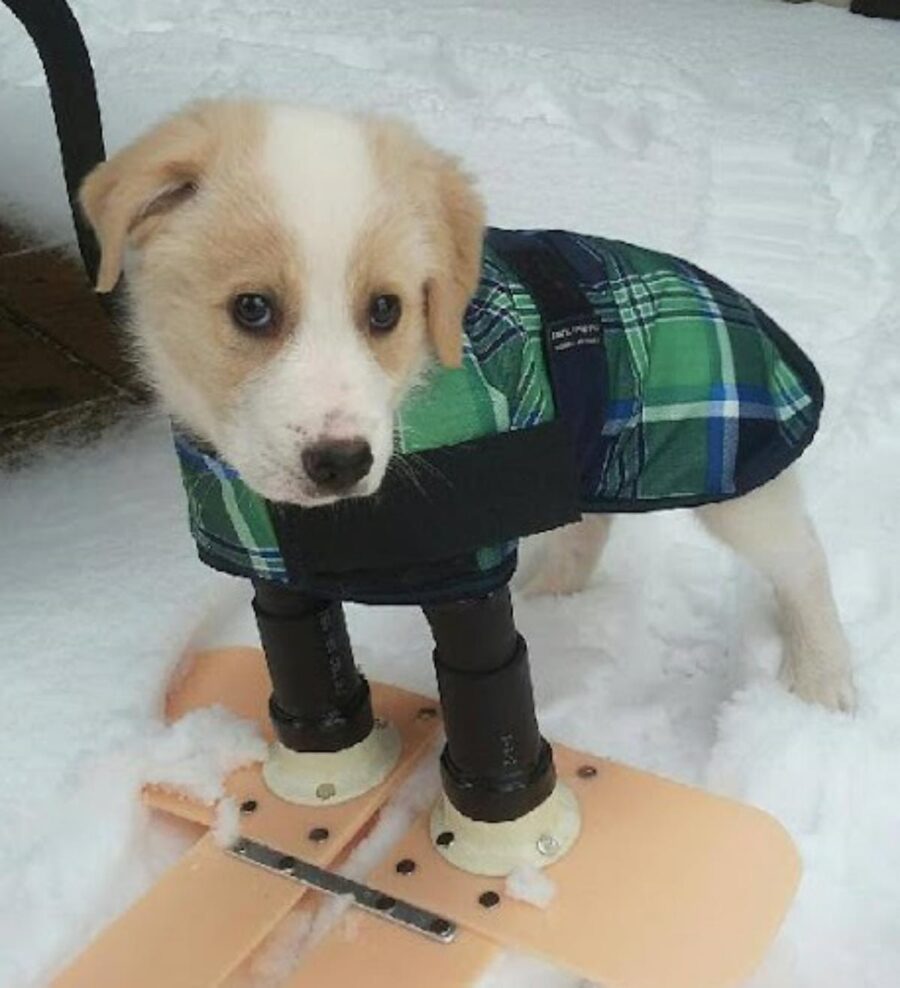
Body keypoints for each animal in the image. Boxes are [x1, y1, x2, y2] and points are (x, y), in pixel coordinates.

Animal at [79, 100, 856, 712]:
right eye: (251, 308)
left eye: (386, 310)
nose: (341, 464)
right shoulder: (270, 569)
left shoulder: (465, 567)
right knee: (590, 525)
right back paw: (552, 597)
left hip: (733, 477)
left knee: (802, 555)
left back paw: (823, 681)